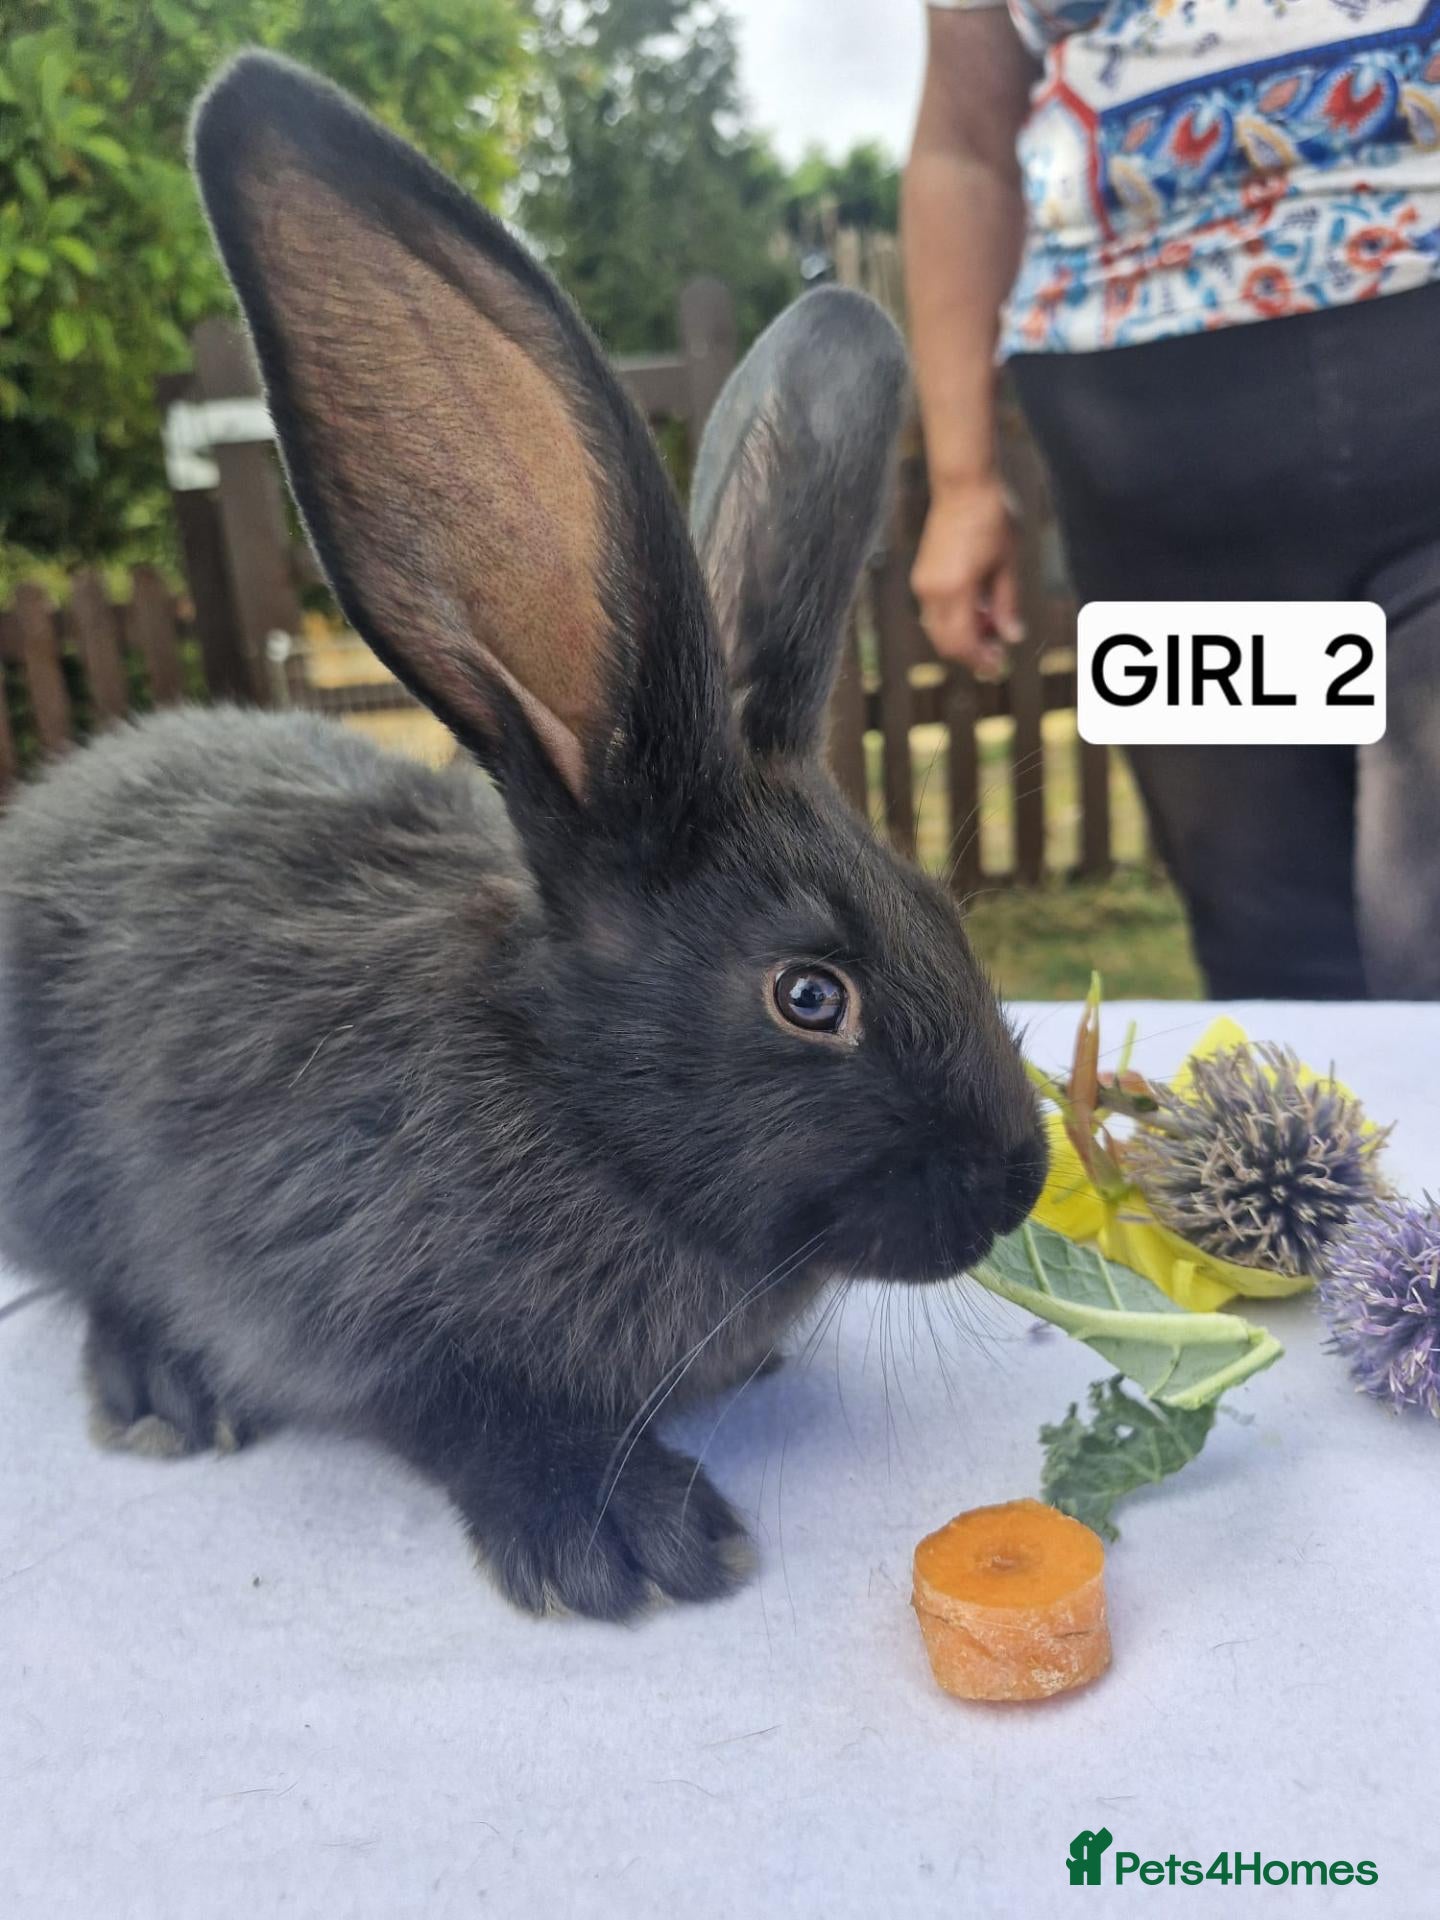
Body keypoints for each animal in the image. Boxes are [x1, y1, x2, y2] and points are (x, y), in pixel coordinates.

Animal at [0, 53, 1047, 1621]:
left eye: (942, 911)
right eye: (811, 996)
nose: (1021, 1179)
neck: (563, 1093)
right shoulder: (344, 1291)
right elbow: (457, 1407)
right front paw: (627, 1536)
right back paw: (158, 1384)